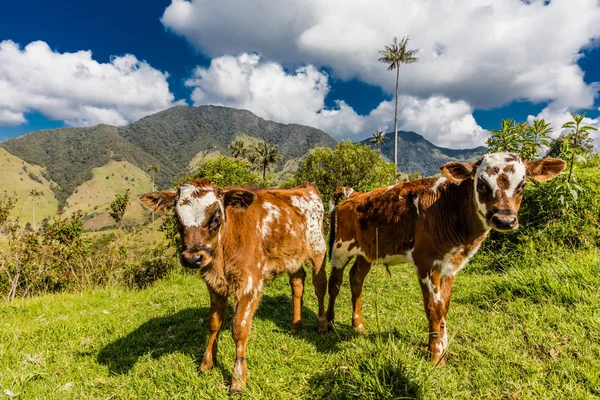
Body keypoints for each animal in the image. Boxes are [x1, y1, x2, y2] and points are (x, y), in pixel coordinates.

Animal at [141, 180, 328, 392]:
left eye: (215, 218)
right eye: (176, 217)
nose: (192, 258)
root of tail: (305, 188)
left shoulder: (250, 283)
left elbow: (239, 328)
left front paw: (238, 378)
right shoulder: (213, 284)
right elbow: (214, 323)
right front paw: (207, 363)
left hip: (318, 249)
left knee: (320, 286)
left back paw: (322, 324)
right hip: (291, 257)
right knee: (297, 284)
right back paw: (296, 326)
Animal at [326, 153, 564, 366]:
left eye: (522, 185)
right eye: (481, 184)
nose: (504, 220)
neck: (450, 208)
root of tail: (354, 194)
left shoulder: (450, 265)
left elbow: (444, 306)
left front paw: (443, 344)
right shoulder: (426, 262)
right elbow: (433, 307)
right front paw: (434, 355)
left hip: (367, 252)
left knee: (356, 281)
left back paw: (358, 325)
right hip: (340, 249)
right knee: (335, 283)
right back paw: (327, 323)